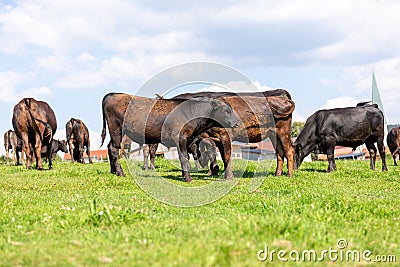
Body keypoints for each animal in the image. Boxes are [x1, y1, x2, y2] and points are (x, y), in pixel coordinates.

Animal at [100, 92, 239, 182]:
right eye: (226, 110)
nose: (237, 123)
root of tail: (112, 94)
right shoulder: (181, 139)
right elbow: (184, 158)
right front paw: (188, 179)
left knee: (109, 147)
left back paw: (113, 171)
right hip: (117, 131)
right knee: (114, 149)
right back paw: (121, 173)